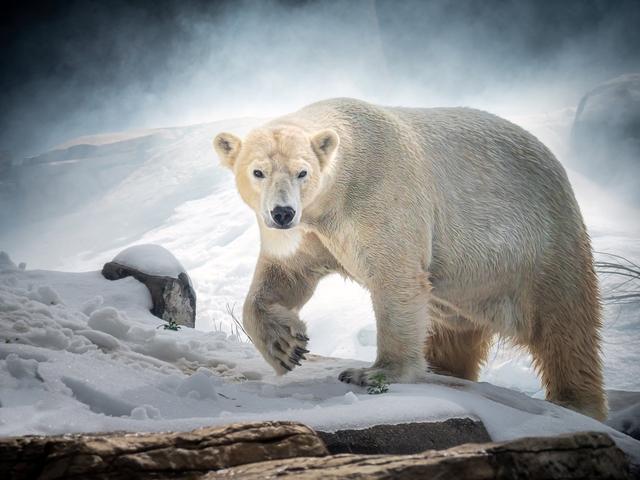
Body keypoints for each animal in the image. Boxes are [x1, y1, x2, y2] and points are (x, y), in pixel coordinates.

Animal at [214, 98, 604, 420]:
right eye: (258, 172)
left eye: (302, 172)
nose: (282, 212)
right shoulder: (311, 231)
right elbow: (284, 275)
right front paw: (286, 347)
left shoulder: (382, 195)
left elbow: (395, 280)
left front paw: (373, 372)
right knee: (453, 329)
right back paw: (445, 368)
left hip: (541, 244)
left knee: (564, 325)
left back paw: (575, 402)